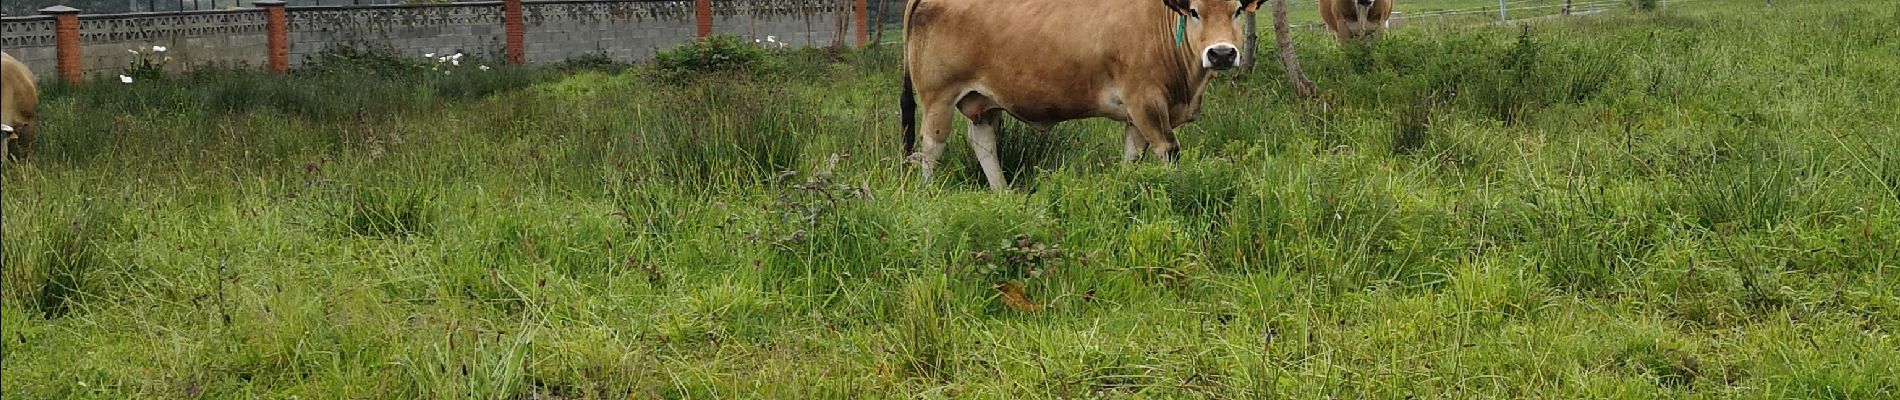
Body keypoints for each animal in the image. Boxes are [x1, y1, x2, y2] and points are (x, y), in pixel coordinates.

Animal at [900, 0, 1261, 192]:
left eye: (1237, 10)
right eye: (1195, 11)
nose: (1222, 53)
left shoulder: (1136, 115)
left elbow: (1131, 157)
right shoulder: (1146, 101)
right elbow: (1168, 151)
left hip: (984, 101)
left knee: (983, 142)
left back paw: (1003, 193)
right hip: (938, 98)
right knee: (931, 149)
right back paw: (928, 193)